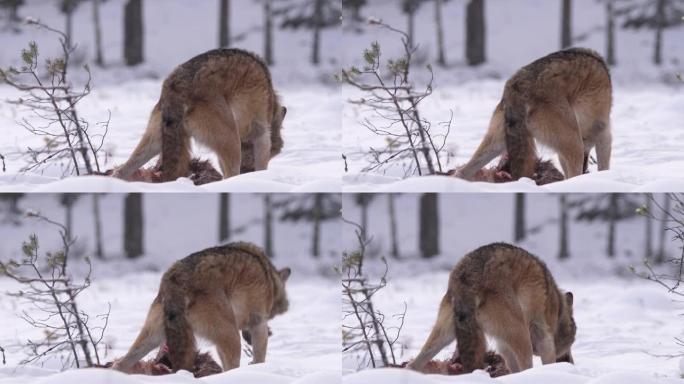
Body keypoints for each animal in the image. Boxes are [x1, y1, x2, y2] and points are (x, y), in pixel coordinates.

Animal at [111, 48, 286, 182]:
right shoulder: (262, 135)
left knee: (120, 171)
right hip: (232, 141)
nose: (246, 172)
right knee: (230, 176)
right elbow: (262, 165)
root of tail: (176, 84)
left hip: (154, 142)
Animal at [111, 242, 292, 374]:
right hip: (232, 336)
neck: (270, 279)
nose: (271, 332)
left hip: (153, 338)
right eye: (272, 317)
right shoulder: (259, 323)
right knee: (231, 369)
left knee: (120, 364)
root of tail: (175, 278)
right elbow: (260, 357)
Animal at [408, 244, 576, 374]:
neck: (559, 309)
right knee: (526, 367)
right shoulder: (544, 338)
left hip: (445, 335)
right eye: (571, 344)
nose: (571, 363)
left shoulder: (503, 345)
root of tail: (468, 276)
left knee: (413, 364)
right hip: (521, 334)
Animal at [456, 47, 612, 180]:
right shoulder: (604, 133)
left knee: (462, 172)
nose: (586, 169)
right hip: (574, 143)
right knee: (572, 176)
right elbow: (604, 166)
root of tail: (515, 86)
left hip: (497, 144)